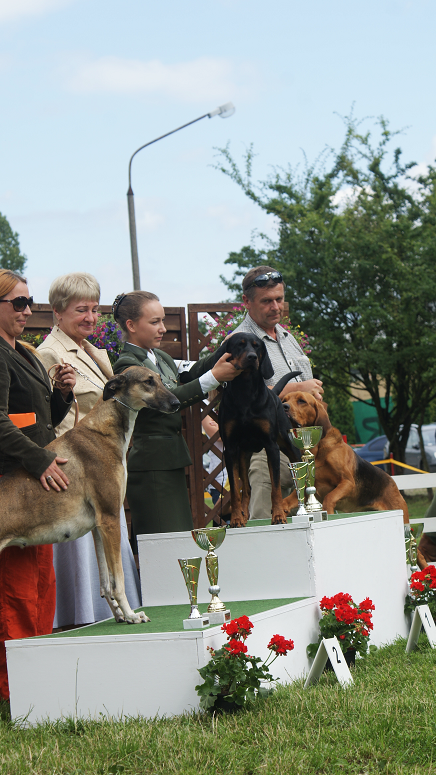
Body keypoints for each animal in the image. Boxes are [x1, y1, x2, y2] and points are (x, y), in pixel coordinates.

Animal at [0, 366, 180, 624]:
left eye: (159, 379)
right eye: (148, 381)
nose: (176, 403)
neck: (103, 430)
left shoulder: (98, 527)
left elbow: (106, 583)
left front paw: (119, 615)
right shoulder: (110, 518)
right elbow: (119, 580)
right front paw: (132, 615)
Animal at [213, 332, 301, 527]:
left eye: (257, 346)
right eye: (239, 345)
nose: (252, 357)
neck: (245, 391)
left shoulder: (271, 445)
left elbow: (275, 487)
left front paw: (278, 515)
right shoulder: (230, 449)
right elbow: (236, 491)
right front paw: (236, 518)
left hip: (290, 446)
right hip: (243, 456)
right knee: (246, 488)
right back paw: (244, 515)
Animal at [281, 391, 409, 523]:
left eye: (301, 401)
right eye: (284, 400)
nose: (284, 406)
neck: (317, 451)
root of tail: (392, 481)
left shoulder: (347, 482)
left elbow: (329, 497)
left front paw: (328, 512)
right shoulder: (306, 488)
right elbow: (285, 501)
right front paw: (279, 514)